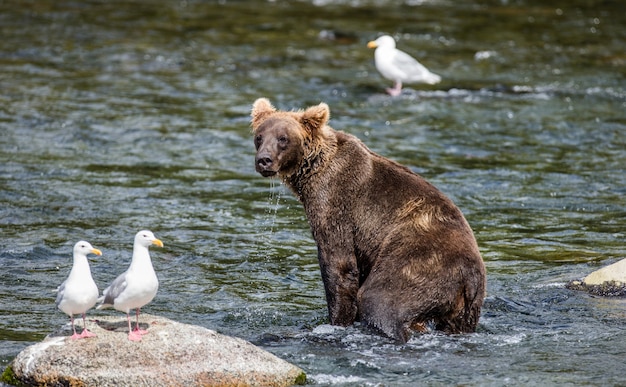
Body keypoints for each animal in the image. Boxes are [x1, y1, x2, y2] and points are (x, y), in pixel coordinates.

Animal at [251, 98, 486, 342]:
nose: (264, 160)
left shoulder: (335, 202)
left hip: (420, 260)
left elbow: (339, 265)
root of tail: (470, 274)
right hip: (466, 308)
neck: (311, 171)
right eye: (259, 136)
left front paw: (337, 321)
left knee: (380, 300)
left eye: (283, 138)